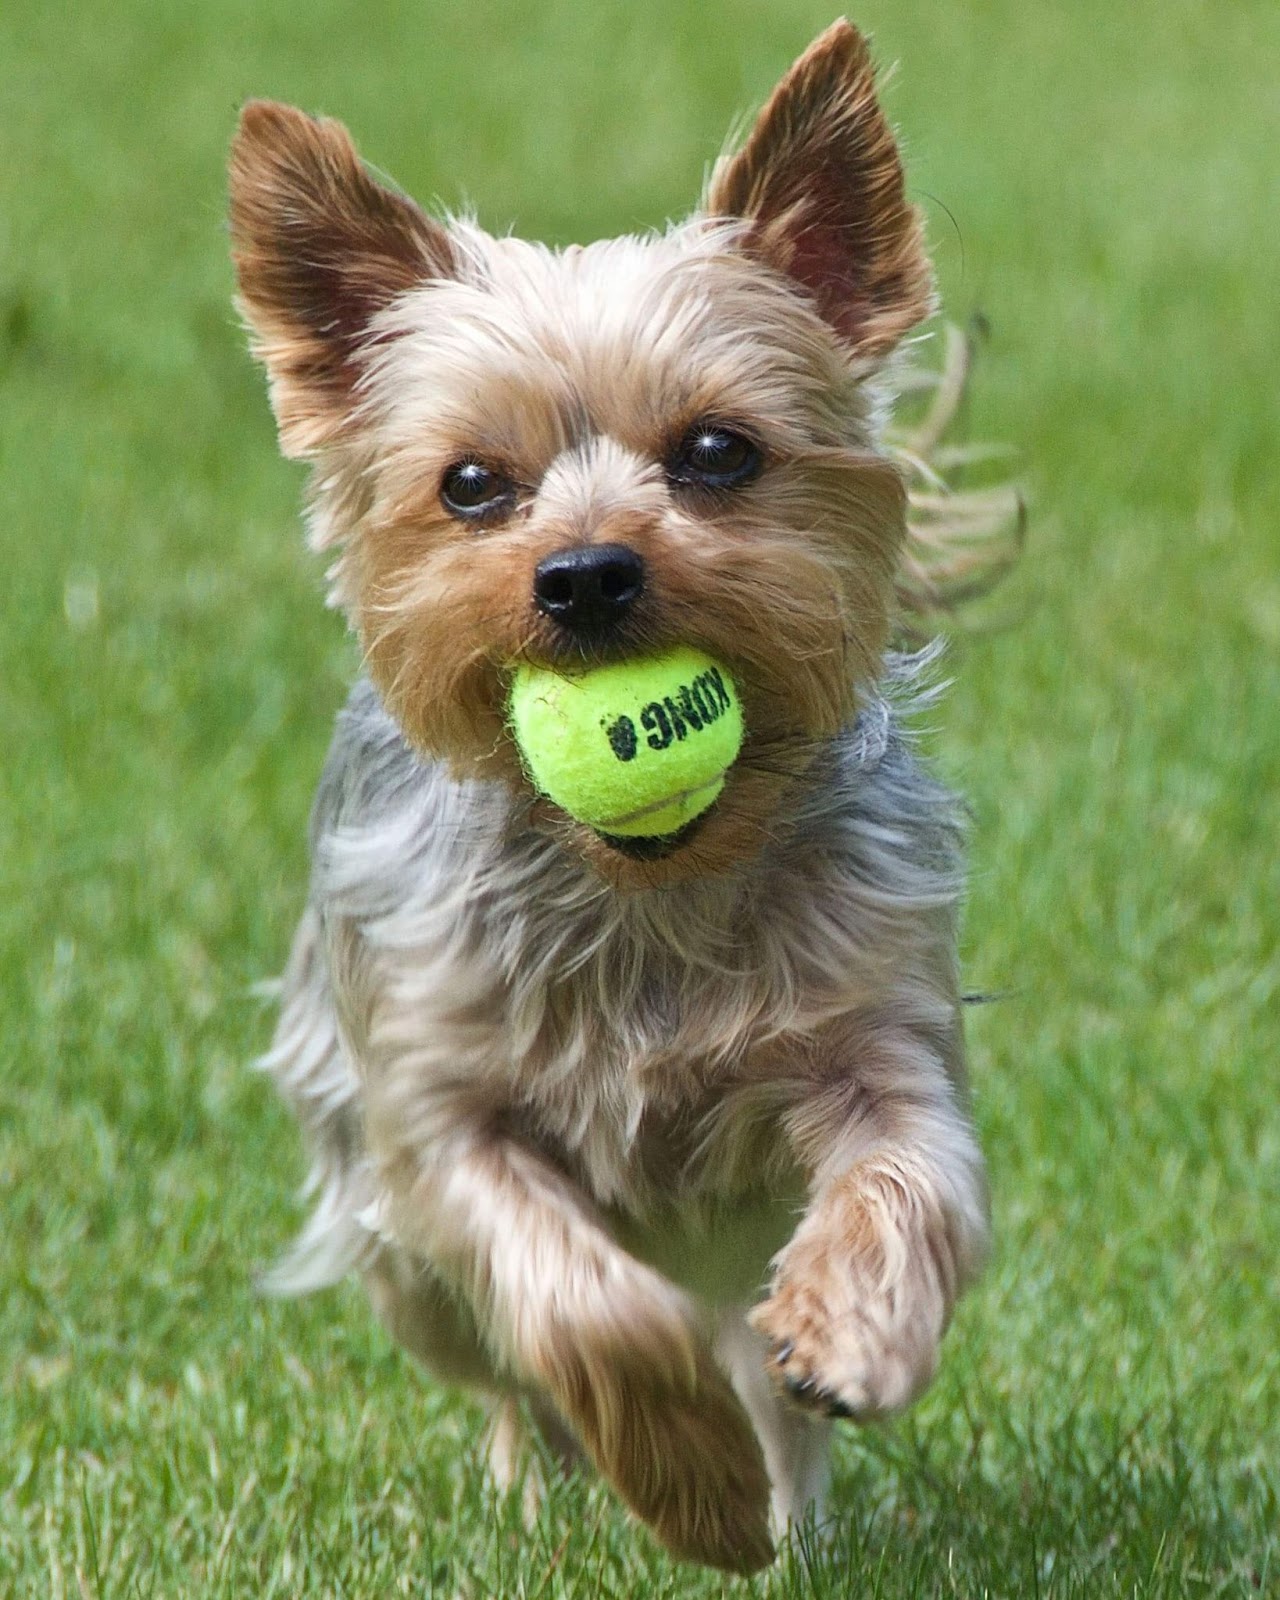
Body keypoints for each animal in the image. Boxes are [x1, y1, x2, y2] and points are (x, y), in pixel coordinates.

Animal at [227, 18, 992, 1568]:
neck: (648, 888)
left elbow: (906, 1179)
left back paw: (792, 1508)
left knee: (757, 1364)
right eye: (471, 484)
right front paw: (685, 1481)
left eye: (716, 451)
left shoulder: (875, 1029)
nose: (584, 574)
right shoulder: (437, 1106)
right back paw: (555, 1484)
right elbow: (578, 1306)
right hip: (386, 1232)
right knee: (501, 1368)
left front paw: (849, 1336)